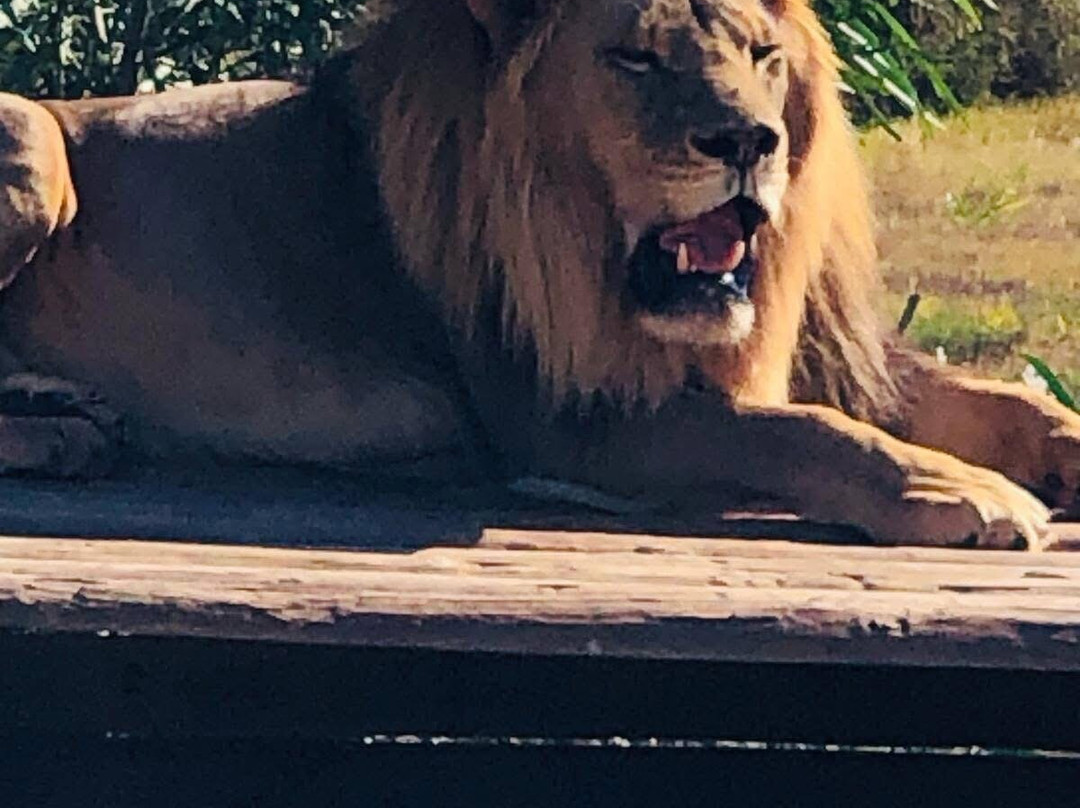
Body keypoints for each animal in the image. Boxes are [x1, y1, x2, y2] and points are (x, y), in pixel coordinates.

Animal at [0, 0, 1076, 550]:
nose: (749, 141)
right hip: (35, 150)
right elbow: (791, 431)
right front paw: (963, 491)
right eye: (636, 58)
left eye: (764, 54)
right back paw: (64, 433)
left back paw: (67, 411)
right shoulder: (560, 416)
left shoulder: (828, 350)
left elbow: (993, 400)